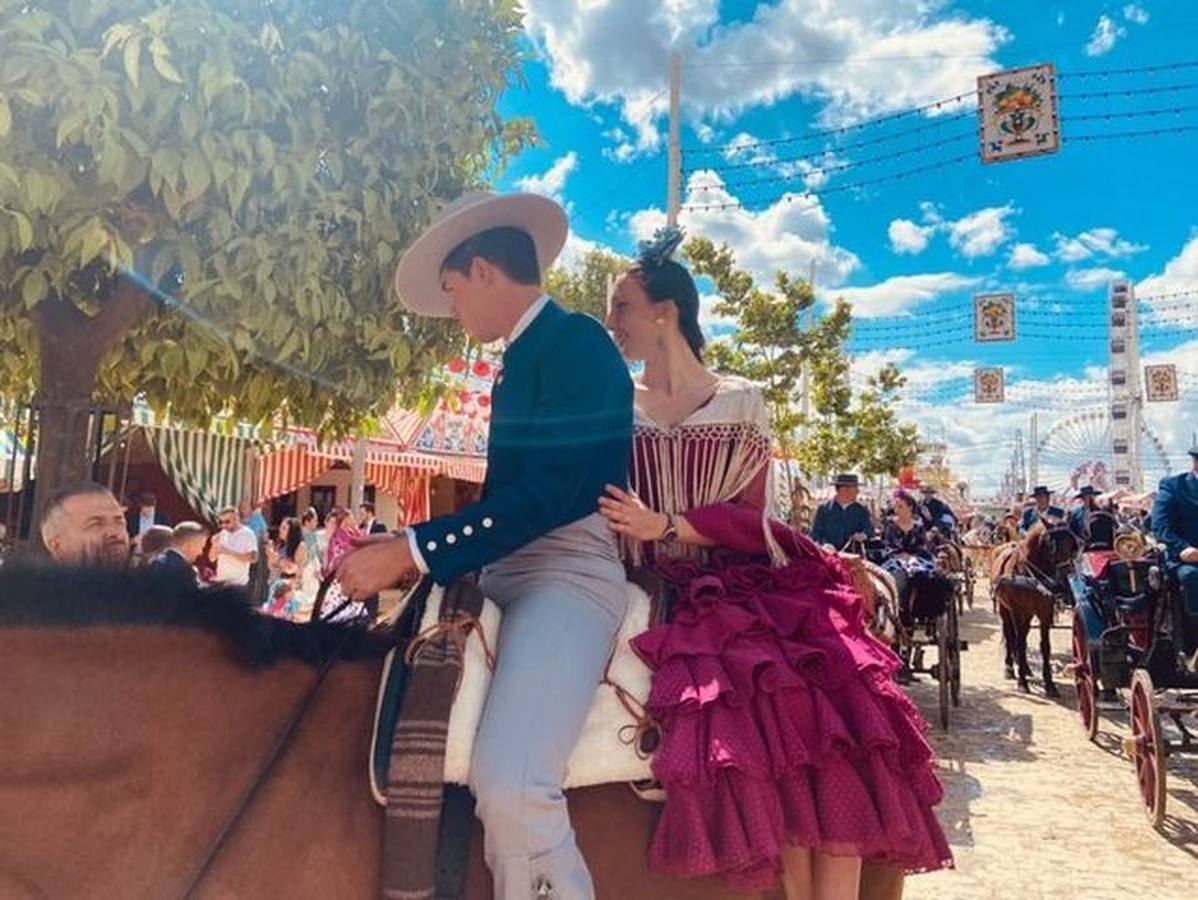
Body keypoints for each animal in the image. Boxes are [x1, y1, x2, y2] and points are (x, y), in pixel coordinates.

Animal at [987, 520, 1082, 695]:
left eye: (1072, 544)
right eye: (1052, 545)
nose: (1066, 583)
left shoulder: (1045, 612)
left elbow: (1045, 646)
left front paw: (1049, 683)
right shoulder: (1017, 611)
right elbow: (1019, 642)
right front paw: (1022, 682)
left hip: (1028, 615)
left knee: (1021, 635)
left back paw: (1025, 667)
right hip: (1005, 610)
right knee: (1010, 635)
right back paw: (1010, 668)